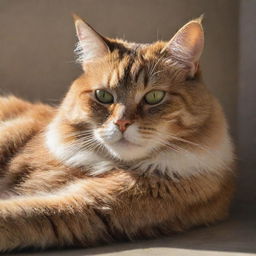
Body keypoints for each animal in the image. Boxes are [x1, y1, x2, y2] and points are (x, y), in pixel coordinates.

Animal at [0, 16, 234, 252]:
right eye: (103, 96)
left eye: (154, 97)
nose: (122, 123)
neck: (106, 164)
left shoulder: (88, 206)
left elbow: (20, 214)